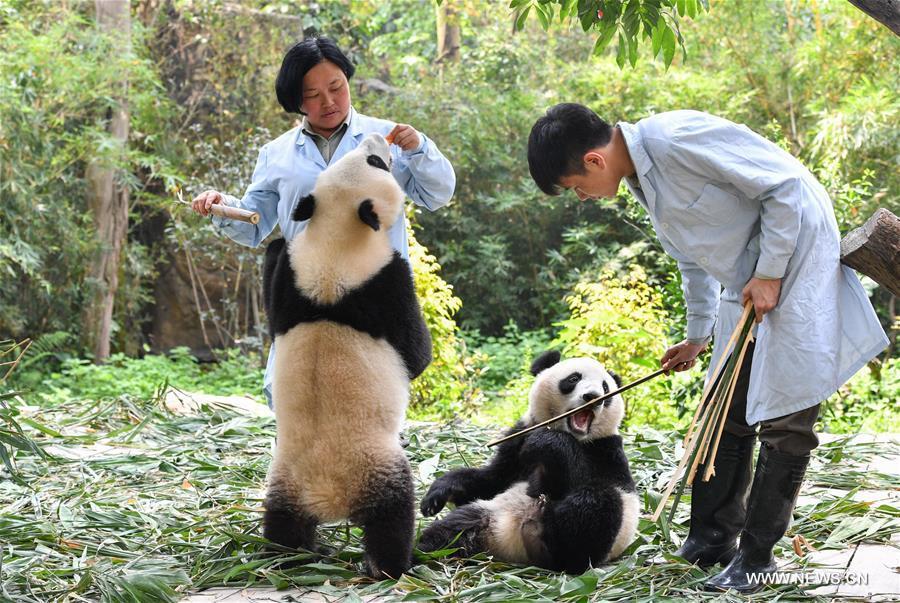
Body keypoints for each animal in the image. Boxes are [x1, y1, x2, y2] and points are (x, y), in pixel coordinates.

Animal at [260, 133, 432, 580]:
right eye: (376, 162)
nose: (377, 136)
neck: (335, 237)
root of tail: (327, 495)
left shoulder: (294, 281)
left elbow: (276, 285)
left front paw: (275, 243)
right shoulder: (383, 281)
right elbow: (415, 352)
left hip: (284, 475)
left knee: (282, 521)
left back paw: (290, 555)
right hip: (376, 464)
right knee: (393, 514)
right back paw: (392, 565)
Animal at [418, 352, 636, 572]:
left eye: (605, 388)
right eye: (574, 379)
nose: (593, 397)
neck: (570, 432)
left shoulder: (606, 450)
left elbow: (575, 477)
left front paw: (545, 444)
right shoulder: (519, 438)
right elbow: (491, 480)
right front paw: (436, 496)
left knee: (596, 504)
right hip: (486, 516)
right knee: (452, 530)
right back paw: (420, 553)